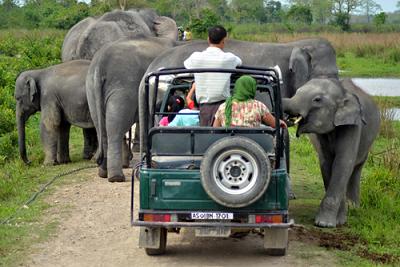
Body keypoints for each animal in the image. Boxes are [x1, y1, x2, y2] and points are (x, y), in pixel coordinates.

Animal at [85, 35, 177, 182]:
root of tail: (100, 63)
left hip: (91, 89)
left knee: (102, 126)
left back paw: (104, 172)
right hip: (123, 86)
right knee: (115, 126)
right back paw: (116, 177)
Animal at [282, 77, 380, 228]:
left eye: (317, 100)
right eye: (296, 91)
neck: (342, 92)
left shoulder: (353, 125)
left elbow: (343, 163)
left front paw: (325, 224)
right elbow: (327, 163)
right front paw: (339, 220)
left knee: (356, 169)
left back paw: (354, 207)